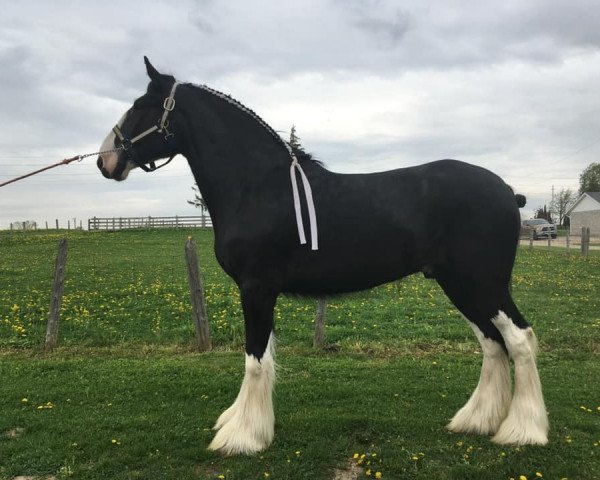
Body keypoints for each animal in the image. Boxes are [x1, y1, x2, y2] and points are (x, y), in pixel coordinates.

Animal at [97, 58, 548, 456]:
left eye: (141, 105)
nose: (106, 160)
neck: (258, 187)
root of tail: (508, 191)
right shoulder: (260, 292)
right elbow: (262, 357)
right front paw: (243, 423)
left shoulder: (256, 289)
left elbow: (254, 359)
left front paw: (242, 437)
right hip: (461, 285)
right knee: (493, 344)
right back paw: (476, 421)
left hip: (483, 284)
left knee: (519, 340)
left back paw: (523, 431)